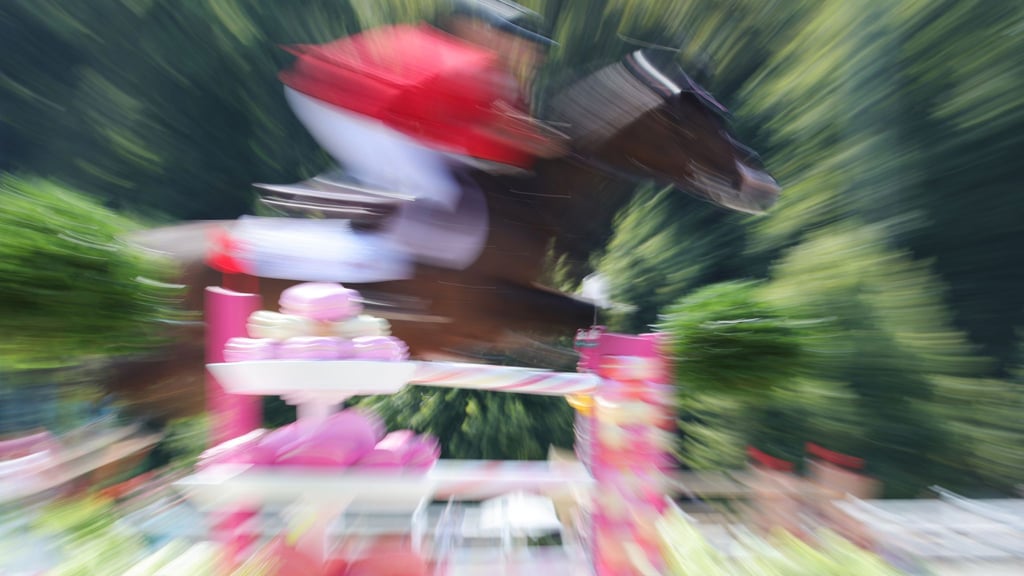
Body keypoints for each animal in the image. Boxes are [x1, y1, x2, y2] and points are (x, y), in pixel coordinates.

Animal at [111, 49, 779, 419]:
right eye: (693, 125)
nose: (762, 185)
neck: (528, 204)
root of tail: (128, 250)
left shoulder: (494, 325)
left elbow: (583, 320)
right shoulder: (485, 306)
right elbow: (590, 311)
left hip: (180, 382)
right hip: (162, 364)